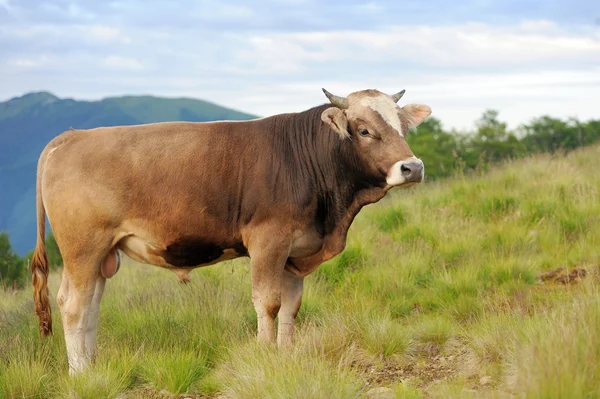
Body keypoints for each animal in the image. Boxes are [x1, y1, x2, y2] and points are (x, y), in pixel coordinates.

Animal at [30, 88, 432, 376]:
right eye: (364, 130)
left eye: (403, 127)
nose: (412, 167)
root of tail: (69, 138)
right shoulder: (268, 241)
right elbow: (267, 303)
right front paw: (265, 356)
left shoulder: (295, 250)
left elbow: (291, 307)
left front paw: (287, 355)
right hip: (83, 247)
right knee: (73, 306)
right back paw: (80, 374)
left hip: (102, 254)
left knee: (92, 305)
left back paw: (93, 365)